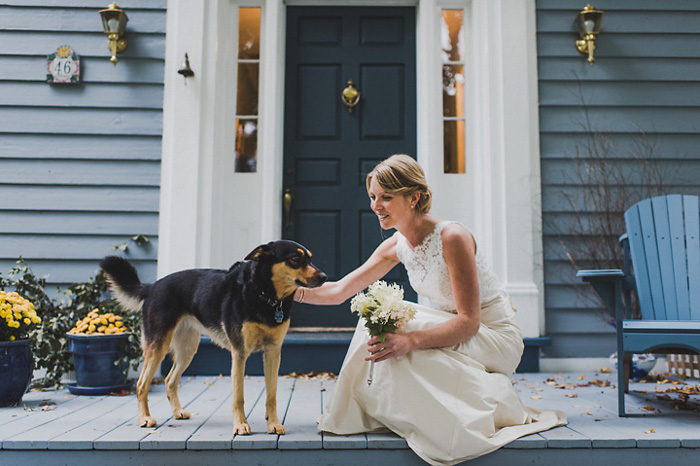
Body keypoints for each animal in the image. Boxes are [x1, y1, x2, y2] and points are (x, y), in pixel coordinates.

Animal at [99, 242, 328, 436]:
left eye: (310, 259)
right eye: (295, 259)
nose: (324, 276)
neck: (265, 295)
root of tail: (152, 287)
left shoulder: (273, 352)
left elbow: (271, 396)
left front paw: (273, 423)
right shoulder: (239, 354)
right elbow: (238, 397)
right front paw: (241, 425)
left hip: (188, 349)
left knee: (170, 380)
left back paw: (178, 412)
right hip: (158, 346)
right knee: (141, 384)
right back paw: (145, 418)